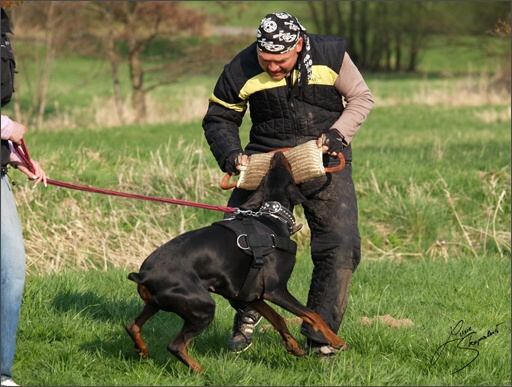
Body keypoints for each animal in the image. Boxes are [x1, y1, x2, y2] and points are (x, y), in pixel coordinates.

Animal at [125, 151, 348, 372]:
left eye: (270, 171)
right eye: (283, 168)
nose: (277, 153)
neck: (273, 218)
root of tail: (144, 274)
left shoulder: (252, 294)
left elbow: (278, 318)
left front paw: (292, 346)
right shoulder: (276, 290)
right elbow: (312, 314)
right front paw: (336, 341)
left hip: (155, 303)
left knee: (132, 326)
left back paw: (142, 349)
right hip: (203, 308)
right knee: (175, 345)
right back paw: (200, 370)